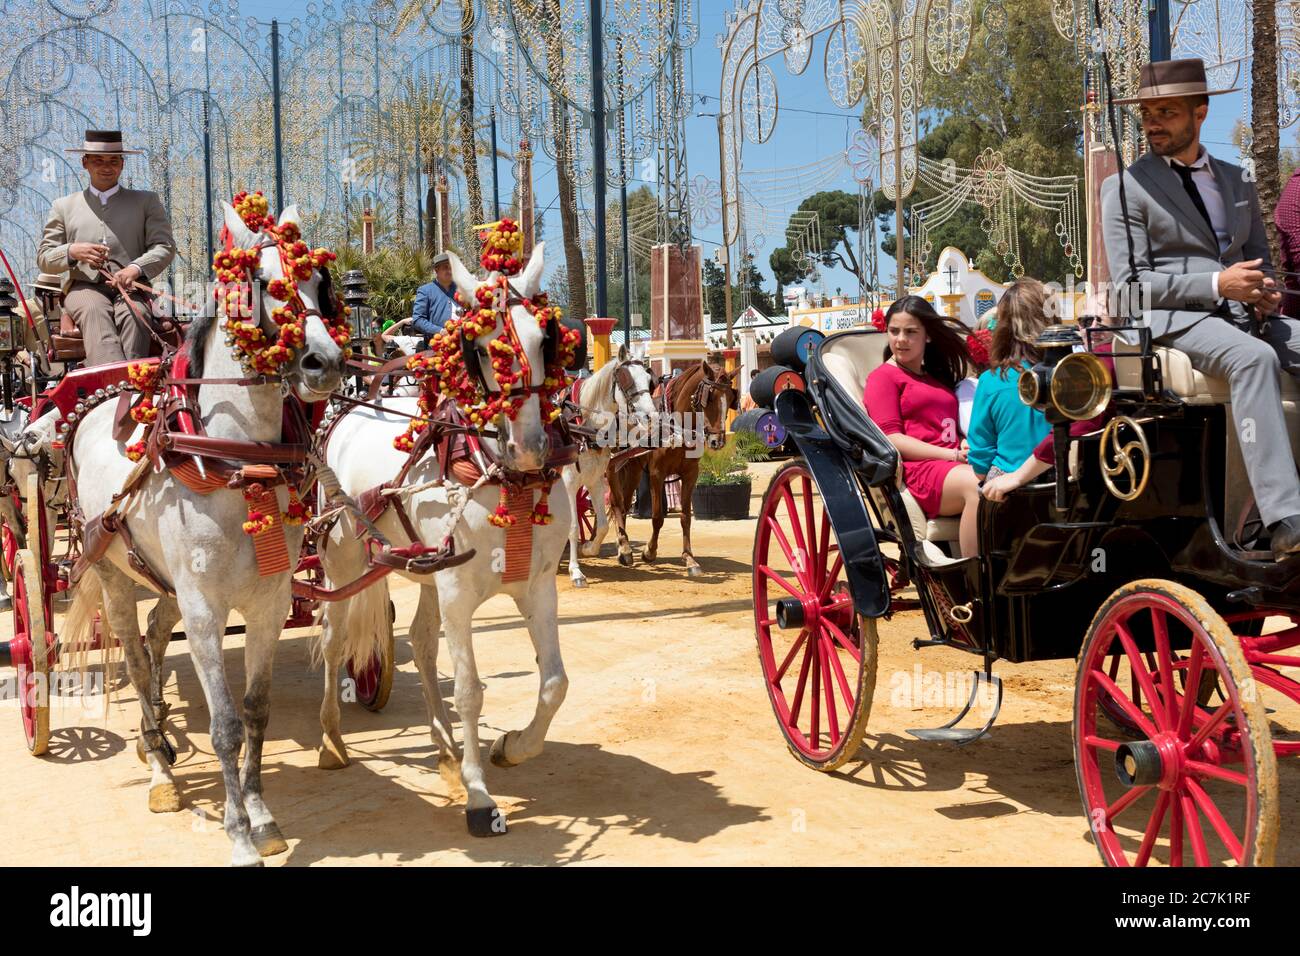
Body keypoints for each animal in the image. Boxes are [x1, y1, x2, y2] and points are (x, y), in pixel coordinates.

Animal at [57, 200, 345, 868]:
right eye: (261, 283)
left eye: (321, 282)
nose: (324, 362)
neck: (238, 461)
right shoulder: (206, 610)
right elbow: (223, 726)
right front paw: (238, 835)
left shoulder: (268, 603)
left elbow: (257, 712)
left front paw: (262, 817)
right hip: (112, 574)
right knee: (138, 664)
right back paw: (161, 769)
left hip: (163, 582)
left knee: (157, 638)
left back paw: (158, 736)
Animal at [312, 244, 572, 837]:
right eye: (478, 349)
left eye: (544, 338)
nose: (529, 447)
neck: (503, 477)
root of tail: (345, 410)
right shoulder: (457, 594)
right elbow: (470, 690)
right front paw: (479, 796)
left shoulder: (536, 585)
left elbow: (553, 683)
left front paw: (510, 748)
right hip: (341, 563)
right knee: (335, 639)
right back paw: (332, 738)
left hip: (423, 570)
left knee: (422, 641)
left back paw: (445, 746)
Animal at [559, 351, 660, 590]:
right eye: (627, 381)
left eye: (649, 380)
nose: (652, 416)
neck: (583, 426)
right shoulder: (567, 482)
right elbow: (573, 526)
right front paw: (576, 572)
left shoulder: (595, 480)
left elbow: (603, 526)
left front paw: (588, 548)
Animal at [603, 361, 738, 574]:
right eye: (710, 396)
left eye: (731, 398)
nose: (717, 441)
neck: (676, 427)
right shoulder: (656, 474)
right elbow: (657, 516)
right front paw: (649, 552)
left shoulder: (691, 474)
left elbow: (686, 516)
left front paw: (689, 558)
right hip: (611, 466)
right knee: (617, 503)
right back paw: (624, 549)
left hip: (632, 468)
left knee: (624, 503)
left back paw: (623, 546)